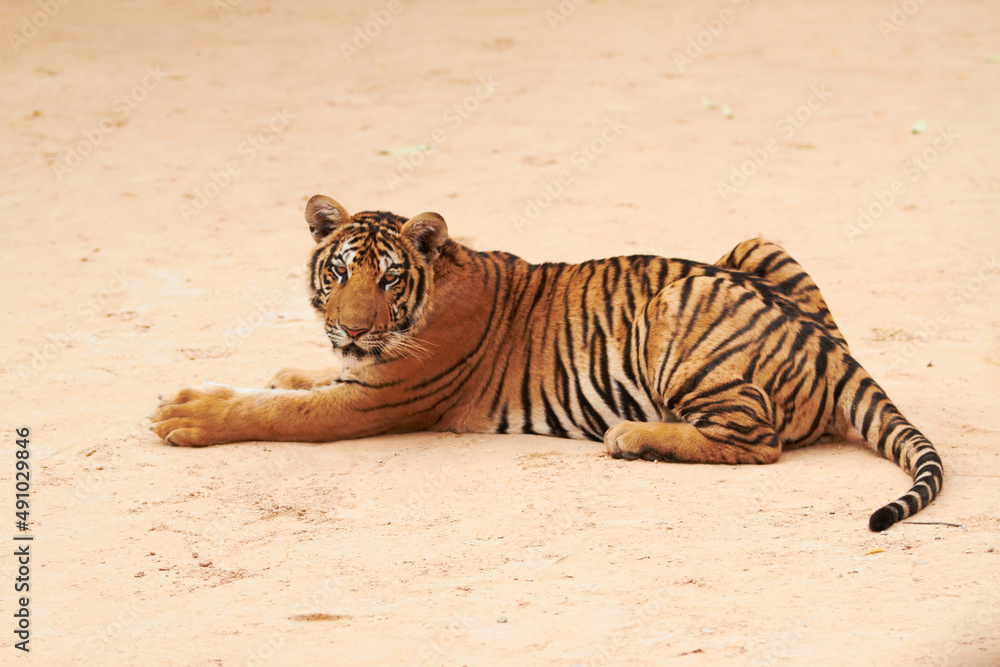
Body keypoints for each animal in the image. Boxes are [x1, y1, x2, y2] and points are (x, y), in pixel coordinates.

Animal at [150, 194, 944, 532]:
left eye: (389, 280)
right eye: (339, 271)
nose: (348, 326)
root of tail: (832, 350)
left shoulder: (379, 398)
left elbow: (277, 410)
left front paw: (184, 412)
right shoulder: (360, 373)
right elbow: (302, 380)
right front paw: (290, 368)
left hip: (677, 310)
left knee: (758, 441)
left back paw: (633, 436)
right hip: (754, 244)